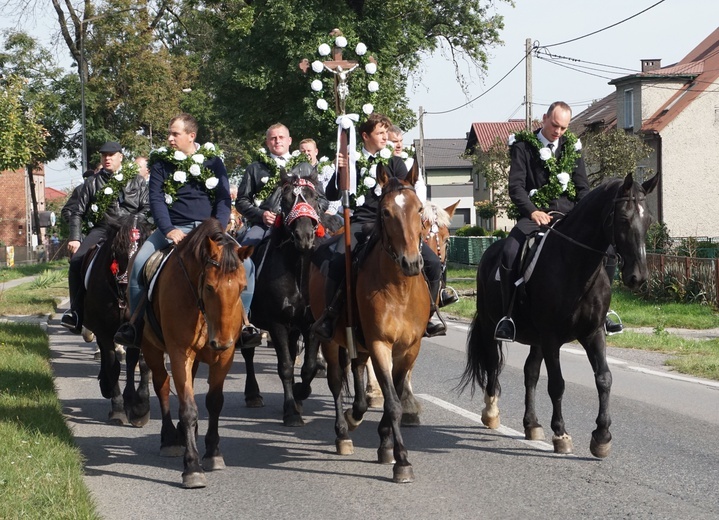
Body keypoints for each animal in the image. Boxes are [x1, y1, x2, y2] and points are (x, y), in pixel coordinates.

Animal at [82, 212, 153, 426]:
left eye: (144, 248)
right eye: (118, 248)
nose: (125, 282)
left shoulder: (139, 329)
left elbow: (140, 363)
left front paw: (140, 407)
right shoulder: (104, 330)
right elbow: (113, 365)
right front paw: (119, 408)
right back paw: (106, 385)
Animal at [139, 218, 255, 488]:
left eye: (243, 287)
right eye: (210, 287)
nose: (221, 341)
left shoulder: (224, 357)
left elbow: (214, 402)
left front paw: (213, 453)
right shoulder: (179, 353)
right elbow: (188, 408)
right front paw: (192, 467)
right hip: (151, 349)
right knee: (162, 386)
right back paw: (170, 438)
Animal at [239, 164, 324, 426]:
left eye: (314, 198)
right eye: (285, 201)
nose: (304, 237)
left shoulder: (309, 324)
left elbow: (308, 368)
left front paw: (300, 394)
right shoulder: (277, 324)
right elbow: (285, 366)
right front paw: (291, 412)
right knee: (247, 352)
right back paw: (253, 394)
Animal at [308, 174, 430, 484]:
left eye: (419, 208)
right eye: (385, 212)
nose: (411, 262)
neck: (399, 289)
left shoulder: (409, 350)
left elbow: (393, 396)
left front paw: (386, 446)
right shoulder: (380, 344)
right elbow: (392, 403)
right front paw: (402, 461)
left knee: (358, 369)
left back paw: (357, 413)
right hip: (332, 340)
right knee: (336, 381)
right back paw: (343, 432)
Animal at [462, 173, 660, 458]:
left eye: (649, 220)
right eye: (623, 218)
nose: (638, 277)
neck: (576, 265)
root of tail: (489, 252)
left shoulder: (593, 333)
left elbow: (604, 378)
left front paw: (602, 436)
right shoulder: (551, 336)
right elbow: (557, 383)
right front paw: (561, 434)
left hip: (535, 339)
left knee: (530, 372)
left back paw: (532, 424)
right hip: (493, 327)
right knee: (492, 364)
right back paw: (491, 412)